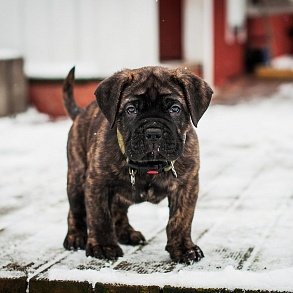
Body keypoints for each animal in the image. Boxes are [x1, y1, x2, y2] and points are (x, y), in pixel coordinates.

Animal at [62, 66, 212, 262]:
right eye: (131, 110)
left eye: (175, 109)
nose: (153, 132)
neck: (150, 165)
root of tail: (80, 113)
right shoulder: (97, 183)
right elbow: (99, 216)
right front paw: (103, 246)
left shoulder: (186, 185)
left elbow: (181, 219)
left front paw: (183, 248)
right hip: (77, 178)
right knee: (76, 210)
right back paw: (75, 237)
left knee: (118, 209)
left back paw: (127, 233)